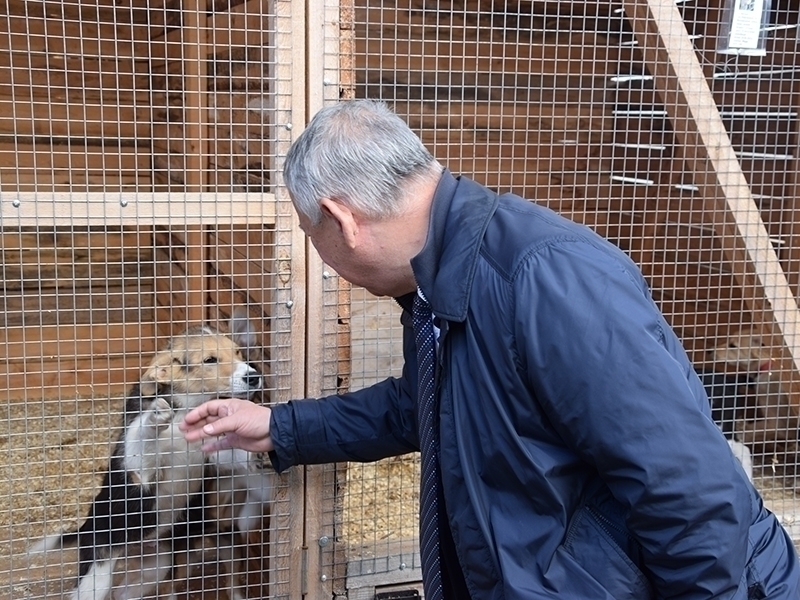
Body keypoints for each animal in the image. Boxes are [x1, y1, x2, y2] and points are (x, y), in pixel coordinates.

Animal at [30, 324, 272, 600]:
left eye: (238, 352)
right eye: (210, 360)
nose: (254, 376)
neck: (187, 409)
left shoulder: (211, 452)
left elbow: (231, 453)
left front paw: (256, 454)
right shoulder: (141, 473)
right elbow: (142, 439)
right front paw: (155, 417)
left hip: (156, 566)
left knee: (123, 593)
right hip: (98, 574)